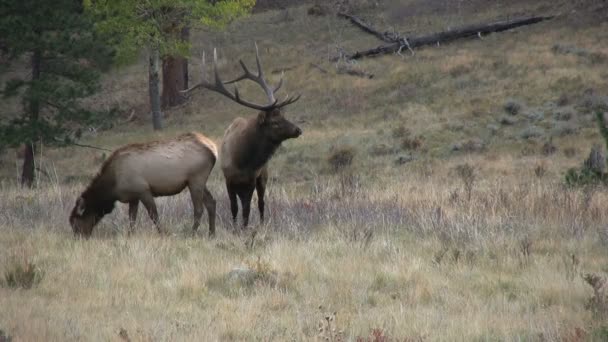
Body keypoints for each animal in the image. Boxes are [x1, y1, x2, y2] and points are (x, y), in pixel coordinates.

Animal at [70, 133, 217, 238]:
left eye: (75, 223)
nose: (78, 239)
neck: (113, 186)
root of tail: (214, 150)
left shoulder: (143, 190)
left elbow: (154, 215)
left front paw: (163, 234)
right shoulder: (133, 196)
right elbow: (131, 218)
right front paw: (130, 235)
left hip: (195, 179)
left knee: (199, 209)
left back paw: (192, 234)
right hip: (197, 182)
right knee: (211, 203)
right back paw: (211, 234)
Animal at [183, 43, 302, 230]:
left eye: (283, 116)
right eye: (275, 122)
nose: (298, 130)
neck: (243, 161)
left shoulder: (251, 180)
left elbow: (247, 208)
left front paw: (244, 228)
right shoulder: (228, 179)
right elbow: (234, 207)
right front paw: (234, 227)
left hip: (263, 176)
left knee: (261, 203)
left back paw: (262, 223)